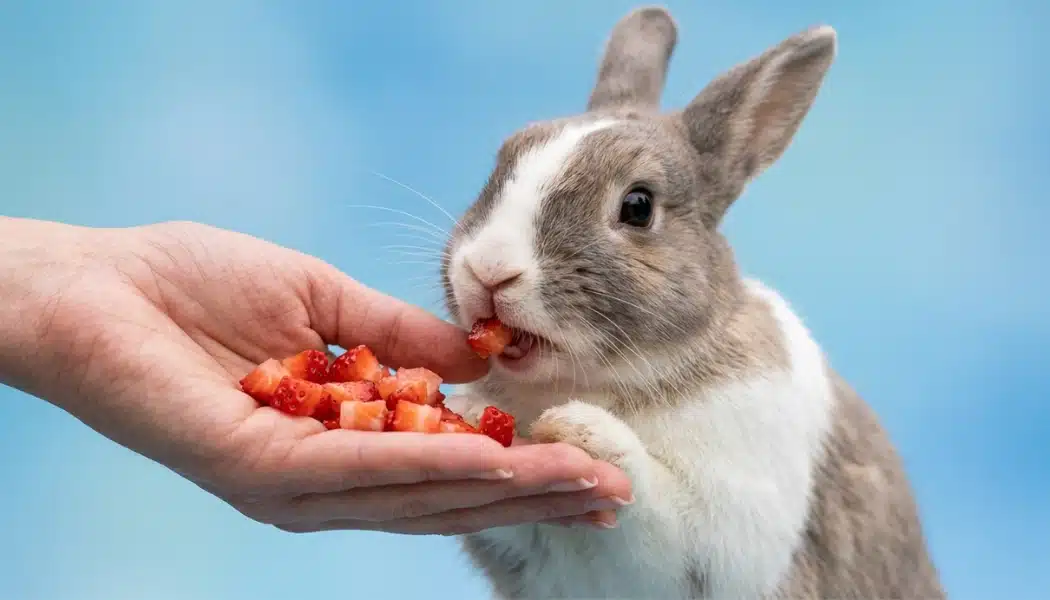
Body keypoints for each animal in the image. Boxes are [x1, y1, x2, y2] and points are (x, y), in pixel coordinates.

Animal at [439, 6, 945, 600]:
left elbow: (660, 507)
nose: (488, 269)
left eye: (638, 206)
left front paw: (583, 431)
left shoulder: (728, 536)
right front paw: (474, 408)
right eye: (500, 165)